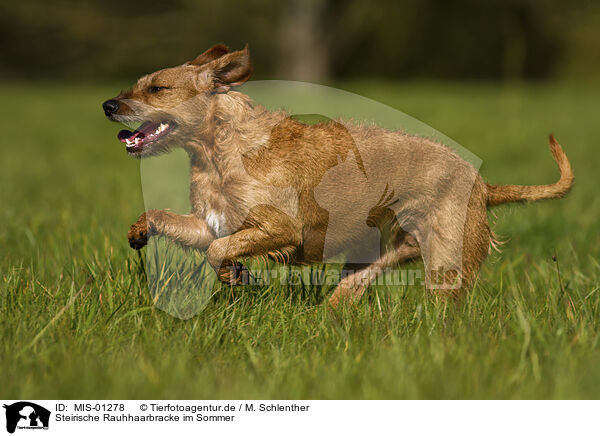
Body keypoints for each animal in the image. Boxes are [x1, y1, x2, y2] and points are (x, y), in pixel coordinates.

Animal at [103, 44, 576, 306]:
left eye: (158, 88)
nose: (108, 105)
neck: (219, 150)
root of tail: (482, 185)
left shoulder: (281, 228)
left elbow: (220, 251)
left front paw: (233, 273)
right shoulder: (209, 224)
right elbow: (180, 226)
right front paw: (139, 230)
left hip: (446, 261)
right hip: (376, 255)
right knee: (349, 293)